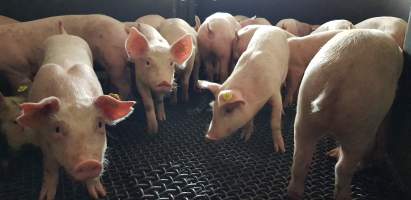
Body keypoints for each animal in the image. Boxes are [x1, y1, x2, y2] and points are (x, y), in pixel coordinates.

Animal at [16, 22, 136, 199]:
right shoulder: (45, 142)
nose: (88, 163)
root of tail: (63, 34)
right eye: (57, 129)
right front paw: (45, 196)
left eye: (100, 124)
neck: (72, 94)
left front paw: (100, 194)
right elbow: (50, 168)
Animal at [288, 29, 404, 200]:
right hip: (360, 124)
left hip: (305, 111)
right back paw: (346, 192)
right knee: (343, 167)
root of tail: (338, 75)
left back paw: (294, 192)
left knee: (300, 158)